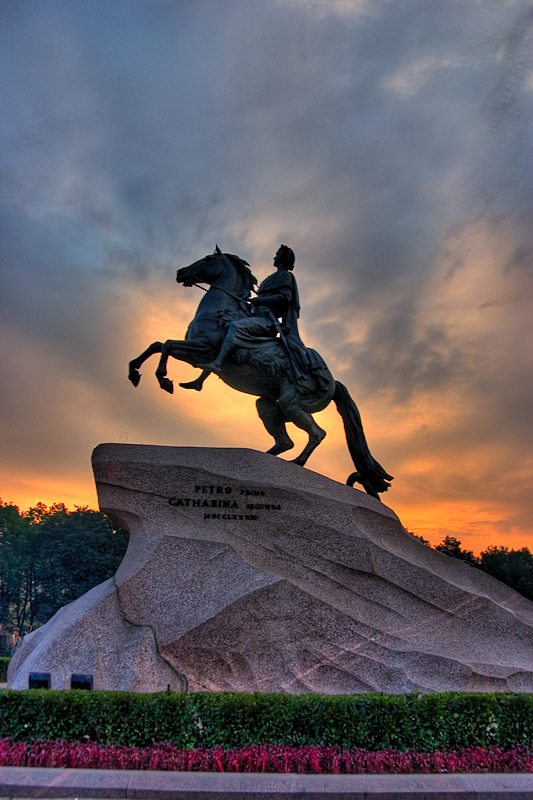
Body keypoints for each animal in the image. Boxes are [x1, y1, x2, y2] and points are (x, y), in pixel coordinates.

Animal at [127, 247, 392, 496]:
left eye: (208, 259)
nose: (181, 273)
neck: (222, 310)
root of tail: (334, 382)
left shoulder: (203, 349)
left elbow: (168, 344)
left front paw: (164, 379)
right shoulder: (193, 352)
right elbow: (157, 344)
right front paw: (134, 372)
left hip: (293, 404)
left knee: (318, 433)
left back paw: (297, 462)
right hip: (268, 406)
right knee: (285, 441)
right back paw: (264, 459)